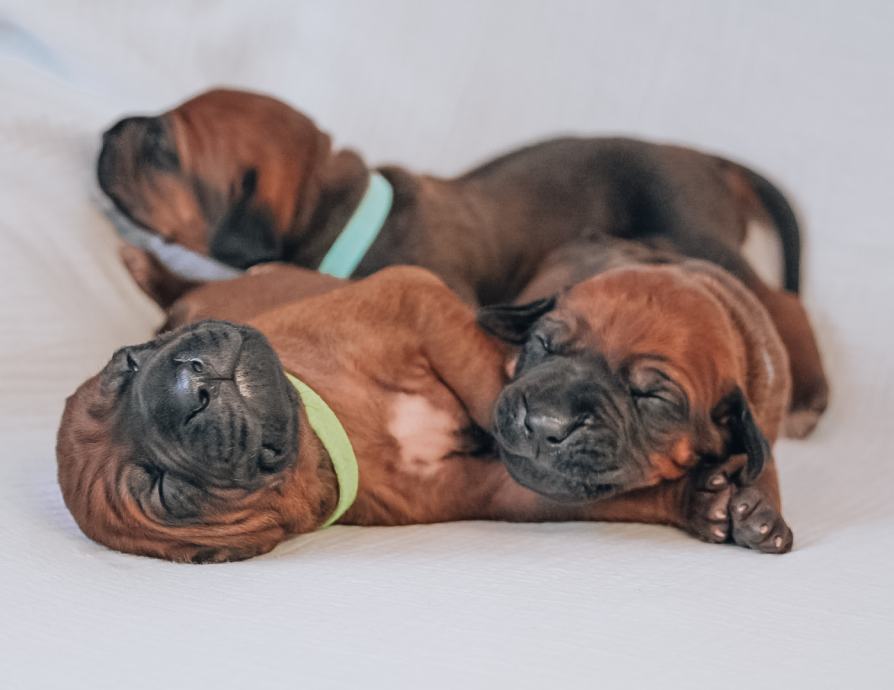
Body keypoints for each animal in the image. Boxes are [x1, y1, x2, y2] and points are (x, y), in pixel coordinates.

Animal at [57, 267, 786, 562]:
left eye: (126, 365)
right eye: (164, 492)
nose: (189, 387)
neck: (333, 429)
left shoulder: (411, 295)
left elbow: (480, 366)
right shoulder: (497, 492)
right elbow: (578, 489)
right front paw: (699, 496)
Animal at [96, 88, 828, 435]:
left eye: (162, 147)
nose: (106, 130)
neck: (346, 210)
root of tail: (709, 161)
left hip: (701, 236)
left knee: (787, 302)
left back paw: (810, 395)